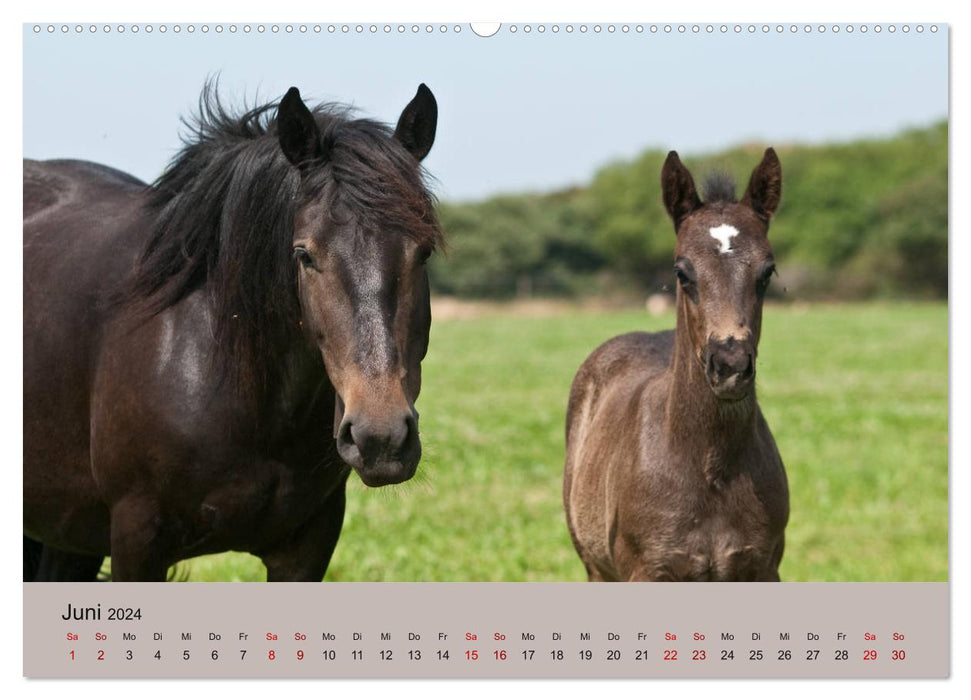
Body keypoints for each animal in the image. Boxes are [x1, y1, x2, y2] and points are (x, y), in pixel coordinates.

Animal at [560, 150, 788, 584]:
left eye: (767, 271)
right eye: (682, 272)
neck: (711, 469)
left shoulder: (762, 569)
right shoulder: (648, 571)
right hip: (594, 565)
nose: (730, 366)